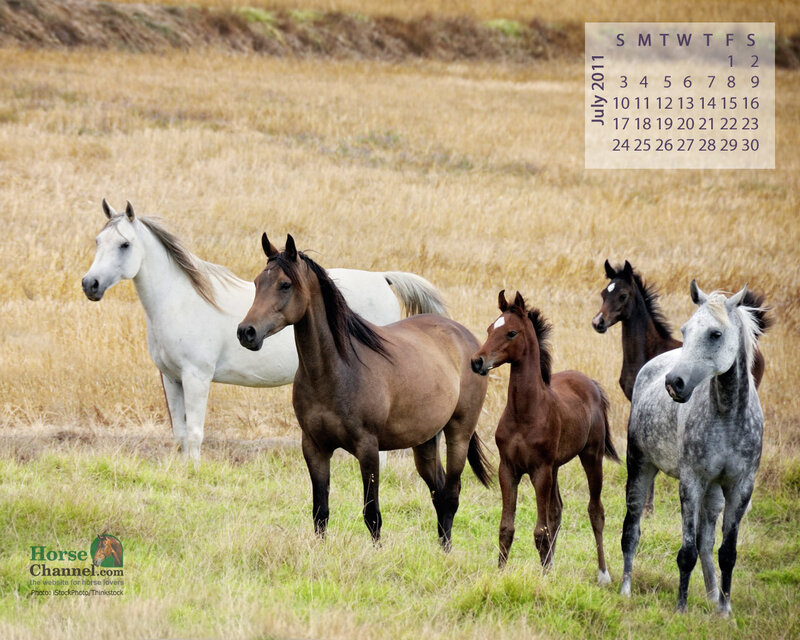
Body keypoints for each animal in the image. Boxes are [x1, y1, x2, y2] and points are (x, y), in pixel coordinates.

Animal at [81, 200, 447, 461]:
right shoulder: (171, 378)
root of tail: (383, 278)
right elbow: (181, 434)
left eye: (125, 245)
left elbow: (196, 432)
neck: (180, 300)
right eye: (98, 240)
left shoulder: (196, 376)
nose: (90, 284)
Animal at [237, 233, 492, 549]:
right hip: (424, 441)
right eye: (258, 282)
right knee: (439, 493)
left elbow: (372, 514)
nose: (246, 332)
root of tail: (468, 340)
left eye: (285, 284)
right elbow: (320, 511)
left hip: (458, 433)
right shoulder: (314, 447)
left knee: (452, 494)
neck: (336, 372)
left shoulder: (368, 449)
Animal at [471, 291, 620, 582]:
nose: (478, 361)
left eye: (511, 333)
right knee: (557, 510)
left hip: (591, 456)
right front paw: (502, 573)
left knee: (595, 510)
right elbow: (507, 527)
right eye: (489, 329)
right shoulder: (509, 469)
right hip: (556, 467)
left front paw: (543, 578)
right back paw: (550, 565)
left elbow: (540, 530)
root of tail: (591, 385)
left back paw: (603, 574)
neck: (524, 413)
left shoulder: (540, 470)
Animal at [620, 281, 766, 616]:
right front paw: (680, 609)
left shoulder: (740, 487)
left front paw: (725, 611)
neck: (727, 417)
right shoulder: (691, 482)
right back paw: (625, 589)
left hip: (714, 493)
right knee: (631, 532)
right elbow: (685, 552)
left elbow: (726, 552)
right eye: (685, 330)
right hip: (640, 468)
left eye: (715, 334)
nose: (674, 383)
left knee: (706, 541)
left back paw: (713, 596)